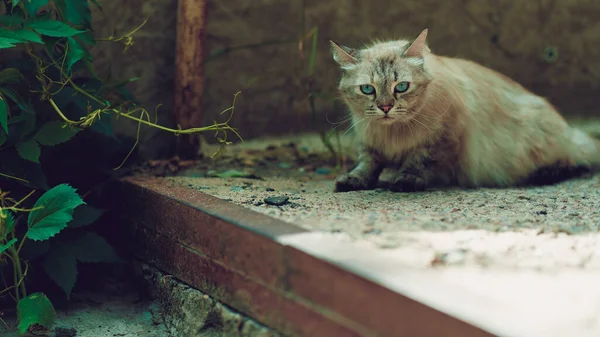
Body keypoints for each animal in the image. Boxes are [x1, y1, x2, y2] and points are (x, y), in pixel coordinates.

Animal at [328, 28, 600, 192]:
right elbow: (368, 164)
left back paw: (546, 173)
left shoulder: (443, 138)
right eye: (367, 89)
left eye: (401, 87)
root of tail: (569, 130)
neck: (393, 134)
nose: (385, 107)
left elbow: (418, 161)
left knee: (575, 160)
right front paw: (355, 180)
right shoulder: (369, 143)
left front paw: (405, 180)